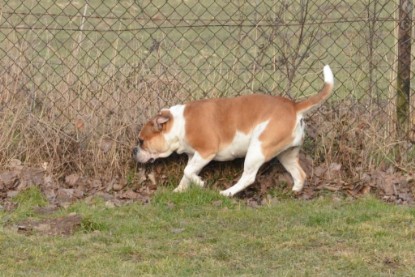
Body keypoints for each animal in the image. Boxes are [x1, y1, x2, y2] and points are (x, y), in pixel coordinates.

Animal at [133, 65, 334, 195]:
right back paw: (295, 192)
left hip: (257, 149)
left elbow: (188, 171)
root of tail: (293, 107)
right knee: (300, 174)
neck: (179, 123)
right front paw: (179, 190)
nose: (134, 151)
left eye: (141, 141)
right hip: (287, 154)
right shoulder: (194, 156)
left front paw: (200, 183)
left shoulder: (206, 151)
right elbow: (186, 172)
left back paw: (227, 193)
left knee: (249, 177)